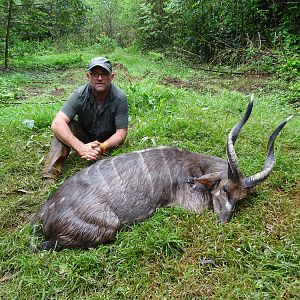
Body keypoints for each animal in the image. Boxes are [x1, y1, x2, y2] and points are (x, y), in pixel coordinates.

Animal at [32, 97, 290, 250]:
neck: (195, 169)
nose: (223, 220)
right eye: (225, 189)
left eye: (241, 198)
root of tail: (44, 213)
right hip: (108, 227)